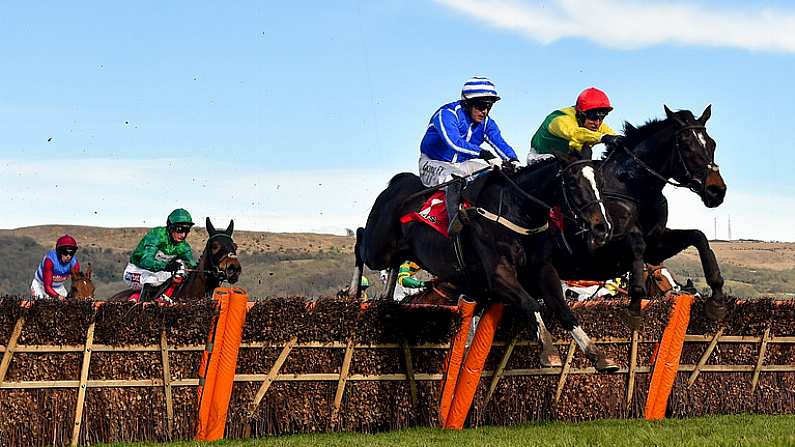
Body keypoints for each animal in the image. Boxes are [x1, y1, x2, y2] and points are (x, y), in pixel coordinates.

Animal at [358, 160, 620, 372]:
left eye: (600, 182)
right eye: (573, 185)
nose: (604, 227)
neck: (517, 211)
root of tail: (397, 184)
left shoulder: (543, 269)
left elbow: (564, 309)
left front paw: (599, 355)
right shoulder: (498, 273)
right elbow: (530, 302)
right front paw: (548, 351)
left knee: (393, 264)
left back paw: (387, 298)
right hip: (377, 250)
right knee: (360, 240)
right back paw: (357, 290)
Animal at [548, 105, 728, 328]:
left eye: (712, 144)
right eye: (686, 145)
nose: (716, 190)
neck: (634, 188)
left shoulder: (656, 245)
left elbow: (699, 237)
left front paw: (717, 300)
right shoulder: (597, 247)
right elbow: (636, 244)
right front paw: (634, 305)